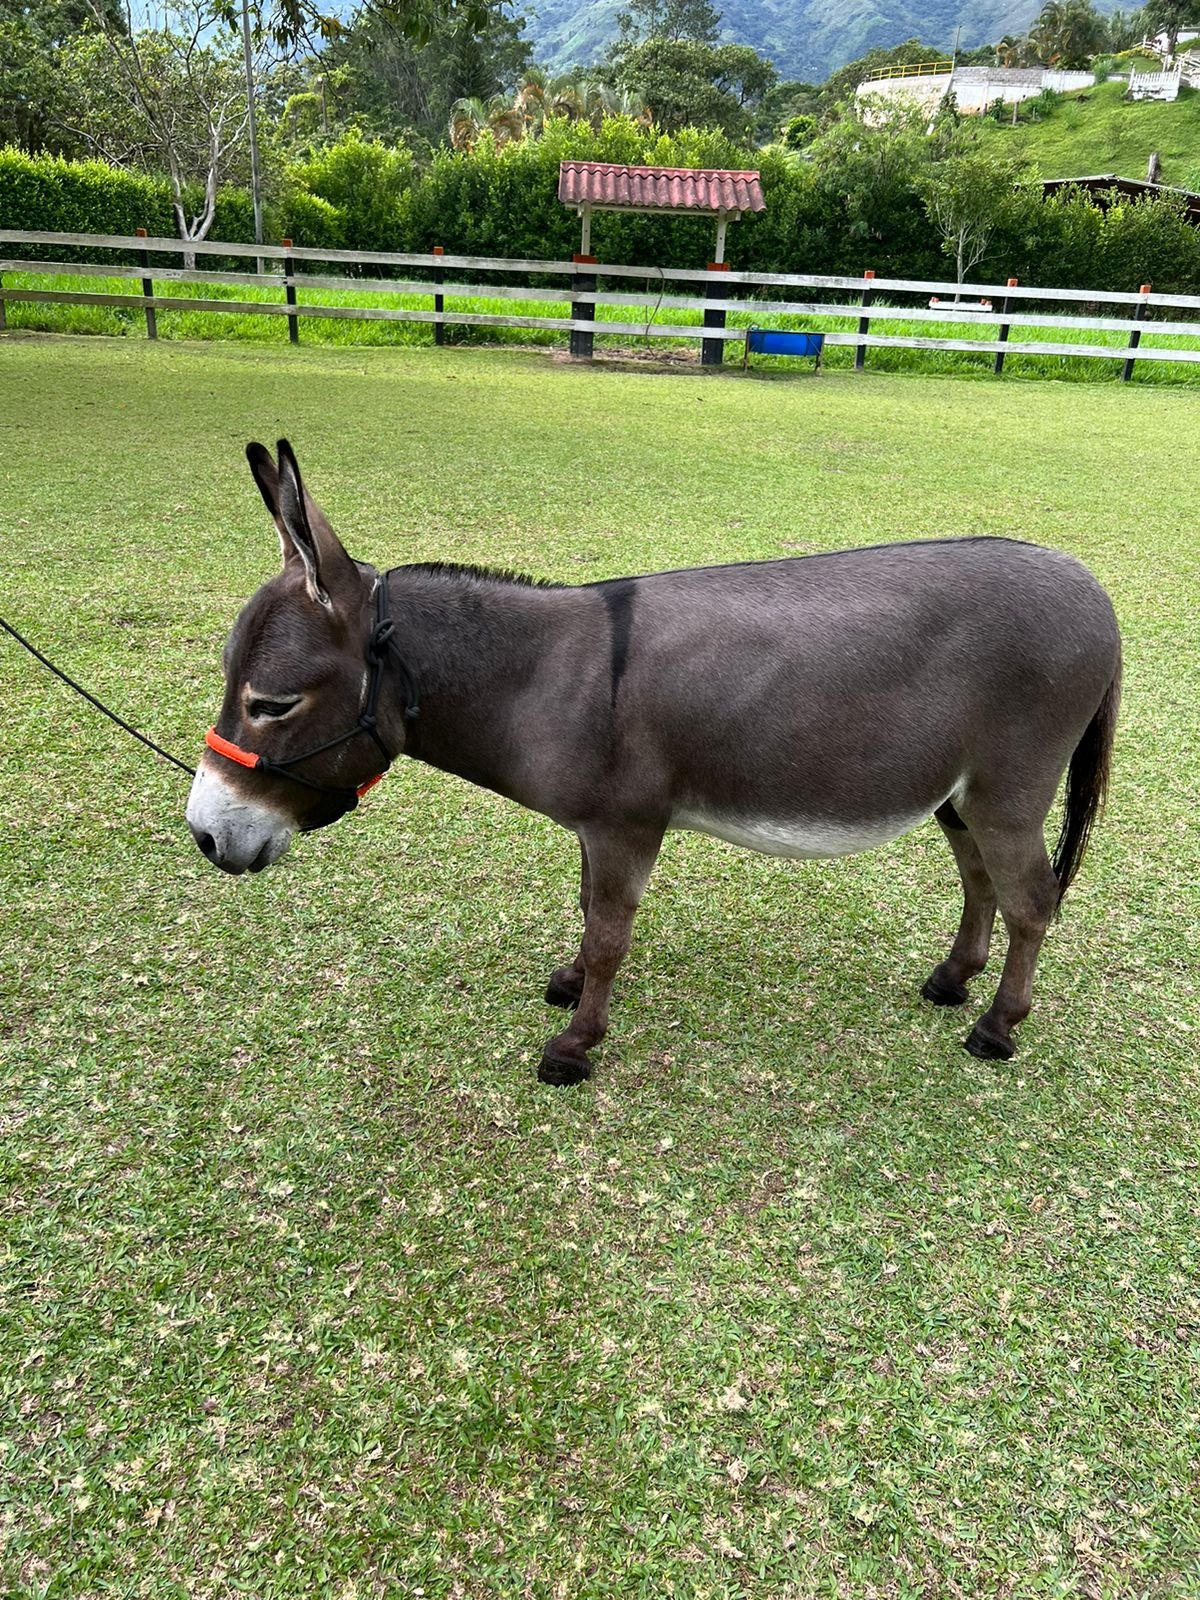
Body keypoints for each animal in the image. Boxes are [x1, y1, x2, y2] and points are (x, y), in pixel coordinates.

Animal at [186, 440, 1121, 1085]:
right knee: (981, 879)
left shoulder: (628, 824)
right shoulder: (593, 829)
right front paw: (568, 986)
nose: (203, 835)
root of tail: (1095, 591)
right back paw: (953, 980)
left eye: (271, 704)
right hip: (958, 793)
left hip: (1009, 787)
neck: (549, 676)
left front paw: (573, 1046)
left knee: (1031, 900)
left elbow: (611, 937)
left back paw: (997, 1027)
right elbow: (587, 915)